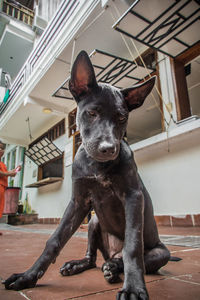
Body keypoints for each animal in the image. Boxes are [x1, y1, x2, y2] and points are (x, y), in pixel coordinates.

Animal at [3, 51, 170, 300]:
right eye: (91, 113)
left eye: (122, 118)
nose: (108, 148)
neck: (96, 166)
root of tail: (112, 253)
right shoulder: (79, 202)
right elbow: (54, 240)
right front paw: (28, 276)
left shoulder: (133, 197)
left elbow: (132, 247)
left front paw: (133, 288)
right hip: (93, 221)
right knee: (92, 259)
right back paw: (82, 265)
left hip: (161, 252)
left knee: (128, 256)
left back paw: (114, 268)